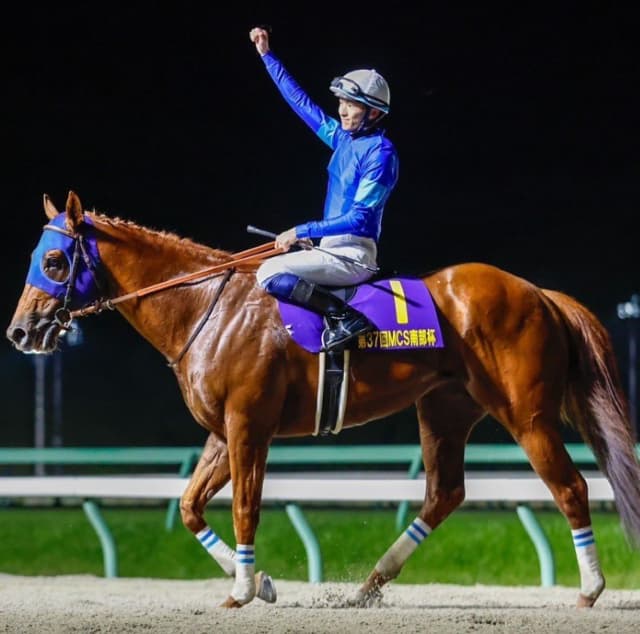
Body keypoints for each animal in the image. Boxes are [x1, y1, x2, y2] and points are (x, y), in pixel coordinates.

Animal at [7, 190, 640, 609]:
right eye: (38, 257)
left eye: (55, 260)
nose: (20, 331)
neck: (207, 306)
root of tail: (539, 292)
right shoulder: (220, 431)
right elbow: (189, 506)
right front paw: (257, 583)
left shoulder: (248, 426)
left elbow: (245, 506)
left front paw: (244, 587)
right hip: (445, 409)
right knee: (445, 494)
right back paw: (367, 587)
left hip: (526, 413)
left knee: (570, 486)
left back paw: (589, 589)